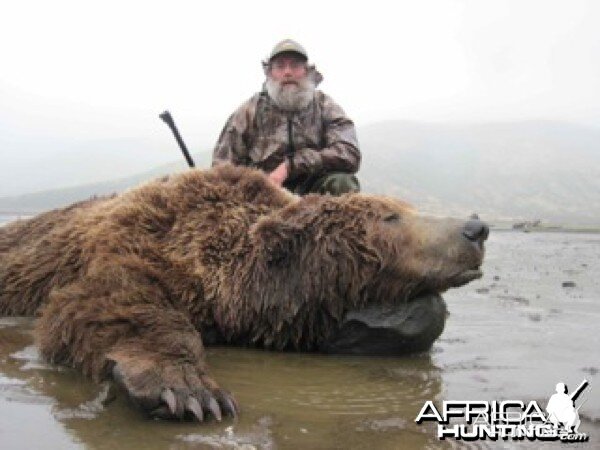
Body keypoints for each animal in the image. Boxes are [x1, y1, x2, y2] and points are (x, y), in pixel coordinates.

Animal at [0, 164, 488, 422]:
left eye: (407, 209)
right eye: (390, 217)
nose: (476, 227)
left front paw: (371, 328)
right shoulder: (144, 243)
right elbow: (101, 303)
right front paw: (188, 391)